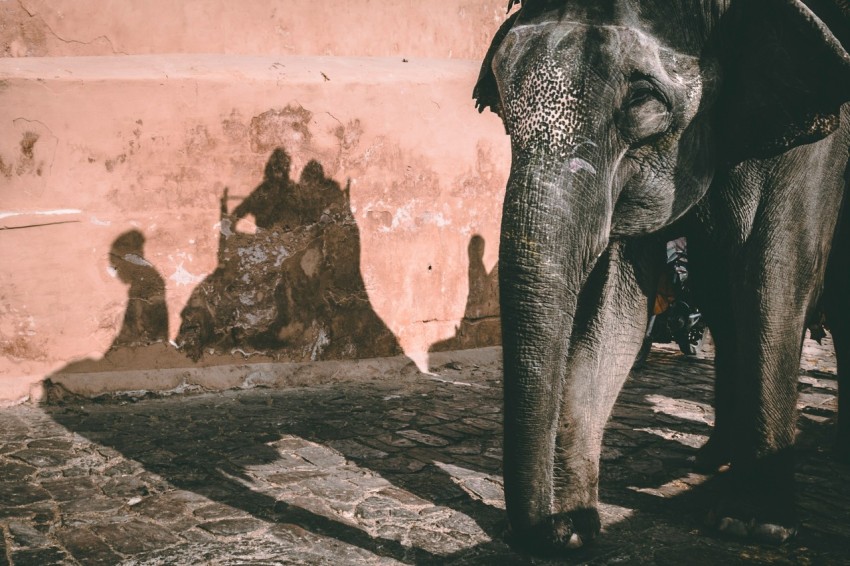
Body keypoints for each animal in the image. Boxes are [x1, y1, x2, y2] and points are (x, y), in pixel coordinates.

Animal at [474, 0, 850, 555]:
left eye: (643, 98)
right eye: (501, 102)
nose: (543, 532)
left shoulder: (821, 136)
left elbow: (775, 277)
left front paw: (752, 525)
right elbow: (615, 307)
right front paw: (576, 527)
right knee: (719, 299)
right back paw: (712, 458)